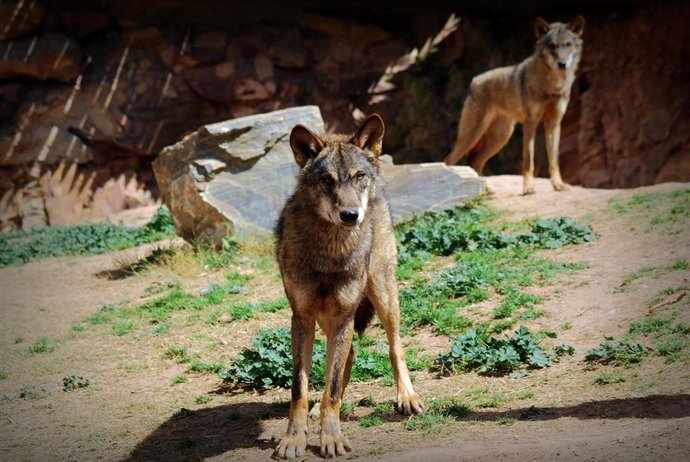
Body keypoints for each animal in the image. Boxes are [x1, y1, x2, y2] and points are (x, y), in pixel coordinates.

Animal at [275, 114, 424, 459]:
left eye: (358, 176)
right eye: (327, 180)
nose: (350, 215)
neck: (330, 252)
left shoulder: (343, 316)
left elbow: (330, 389)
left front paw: (331, 438)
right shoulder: (302, 318)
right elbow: (299, 389)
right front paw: (294, 439)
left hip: (382, 294)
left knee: (395, 347)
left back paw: (406, 398)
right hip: (328, 319)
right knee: (350, 354)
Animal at [444, 16, 585, 195]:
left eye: (567, 44)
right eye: (552, 46)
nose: (562, 63)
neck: (553, 85)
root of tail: (473, 82)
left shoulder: (553, 123)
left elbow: (554, 161)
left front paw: (558, 185)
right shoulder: (531, 123)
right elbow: (528, 160)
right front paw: (529, 188)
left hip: (500, 138)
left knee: (474, 161)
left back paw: (485, 191)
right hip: (472, 136)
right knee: (449, 160)